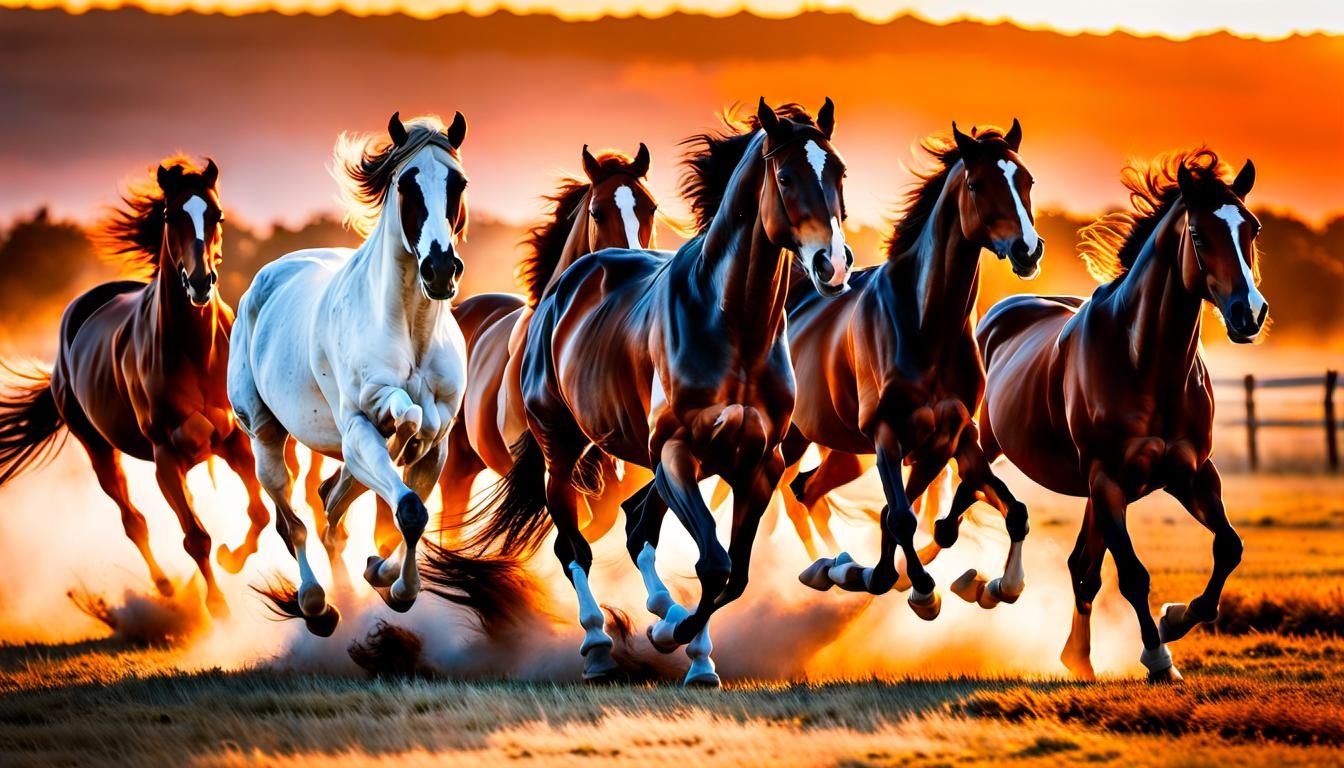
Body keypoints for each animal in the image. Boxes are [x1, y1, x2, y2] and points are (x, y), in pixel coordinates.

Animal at [0, 157, 269, 617]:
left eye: (216, 215)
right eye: (170, 215)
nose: (201, 283)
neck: (196, 352)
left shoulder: (234, 440)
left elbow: (258, 512)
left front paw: (232, 559)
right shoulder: (166, 456)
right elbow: (196, 537)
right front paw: (217, 605)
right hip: (98, 449)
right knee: (133, 520)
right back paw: (164, 586)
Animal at [228, 112, 470, 636]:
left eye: (457, 183)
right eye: (407, 183)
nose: (440, 269)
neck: (411, 328)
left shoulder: (437, 444)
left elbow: (411, 505)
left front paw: (381, 573)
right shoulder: (360, 426)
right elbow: (410, 509)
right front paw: (400, 592)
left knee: (331, 505)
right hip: (265, 436)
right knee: (293, 522)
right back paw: (319, 606)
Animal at [426, 99, 853, 686]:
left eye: (839, 173)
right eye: (785, 176)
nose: (833, 263)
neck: (731, 324)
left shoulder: (759, 463)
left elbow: (735, 572)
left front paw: (692, 650)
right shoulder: (675, 453)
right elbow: (713, 562)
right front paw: (669, 636)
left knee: (633, 526)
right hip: (557, 452)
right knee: (573, 546)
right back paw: (598, 647)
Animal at [787, 122, 1043, 618]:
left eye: (1027, 180)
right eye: (975, 184)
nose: (1028, 250)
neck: (926, 325)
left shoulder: (953, 438)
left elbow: (1011, 511)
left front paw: (1003, 585)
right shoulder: (886, 432)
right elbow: (902, 517)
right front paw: (922, 590)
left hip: (839, 452)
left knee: (807, 491)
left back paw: (830, 566)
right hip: (788, 439)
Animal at [977, 150, 1263, 682]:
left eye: (1251, 228)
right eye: (1198, 234)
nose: (1249, 313)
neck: (1144, 363)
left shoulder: (1191, 474)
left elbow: (1228, 547)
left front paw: (1176, 618)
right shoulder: (1108, 479)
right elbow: (1132, 574)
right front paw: (1157, 657)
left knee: (1081, 568)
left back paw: (1077, 656)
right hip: (989, 445)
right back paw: (990, 585)